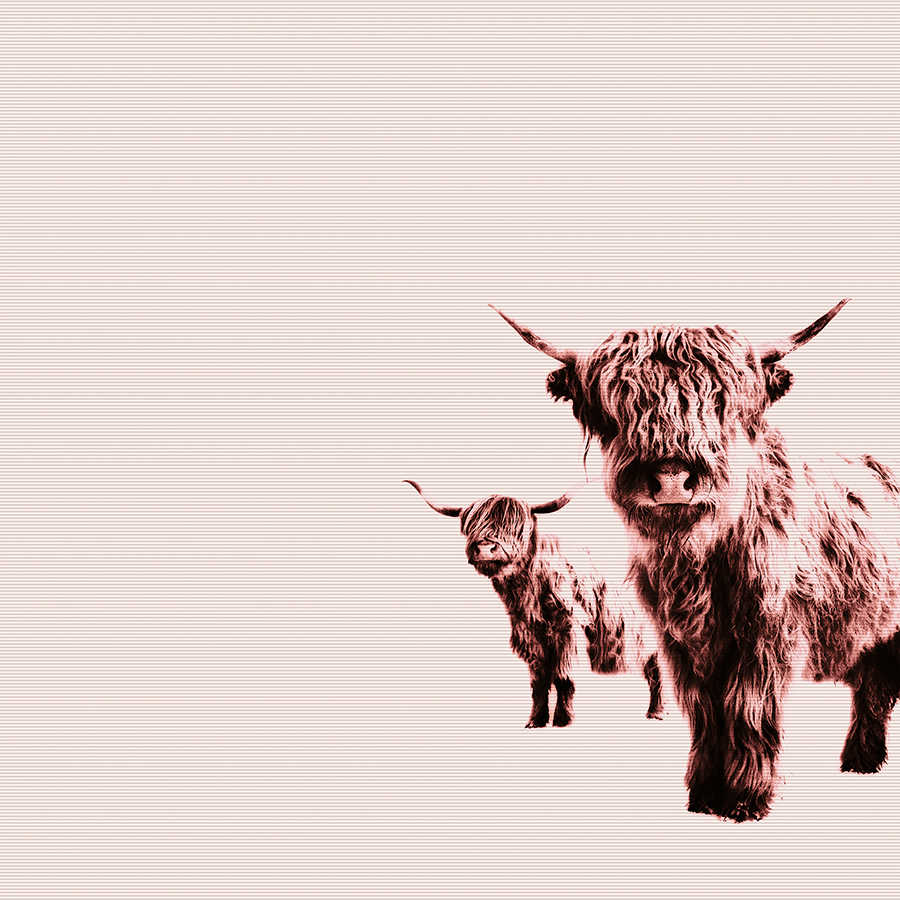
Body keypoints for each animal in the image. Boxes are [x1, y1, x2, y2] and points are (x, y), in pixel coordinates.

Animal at [404, 479, 665, 728]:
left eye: (517, 527)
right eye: (472, 526)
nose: (486, 548)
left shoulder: (568, 630)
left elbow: (563, 676)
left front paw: (563, 720)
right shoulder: (529, 635)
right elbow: (539, 682)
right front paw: (536, 720)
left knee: (656, 673)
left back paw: (656, 712)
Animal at [492, 299, 900, 821]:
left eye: (722, 403)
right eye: (618, 405)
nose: (671, 480)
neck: (696, 561)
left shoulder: (768, 632)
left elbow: (747, 707)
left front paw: (746, 799)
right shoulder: (679, 641)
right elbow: (705, 711)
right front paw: (704, 794)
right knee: (874, 685)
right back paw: (861, 761)